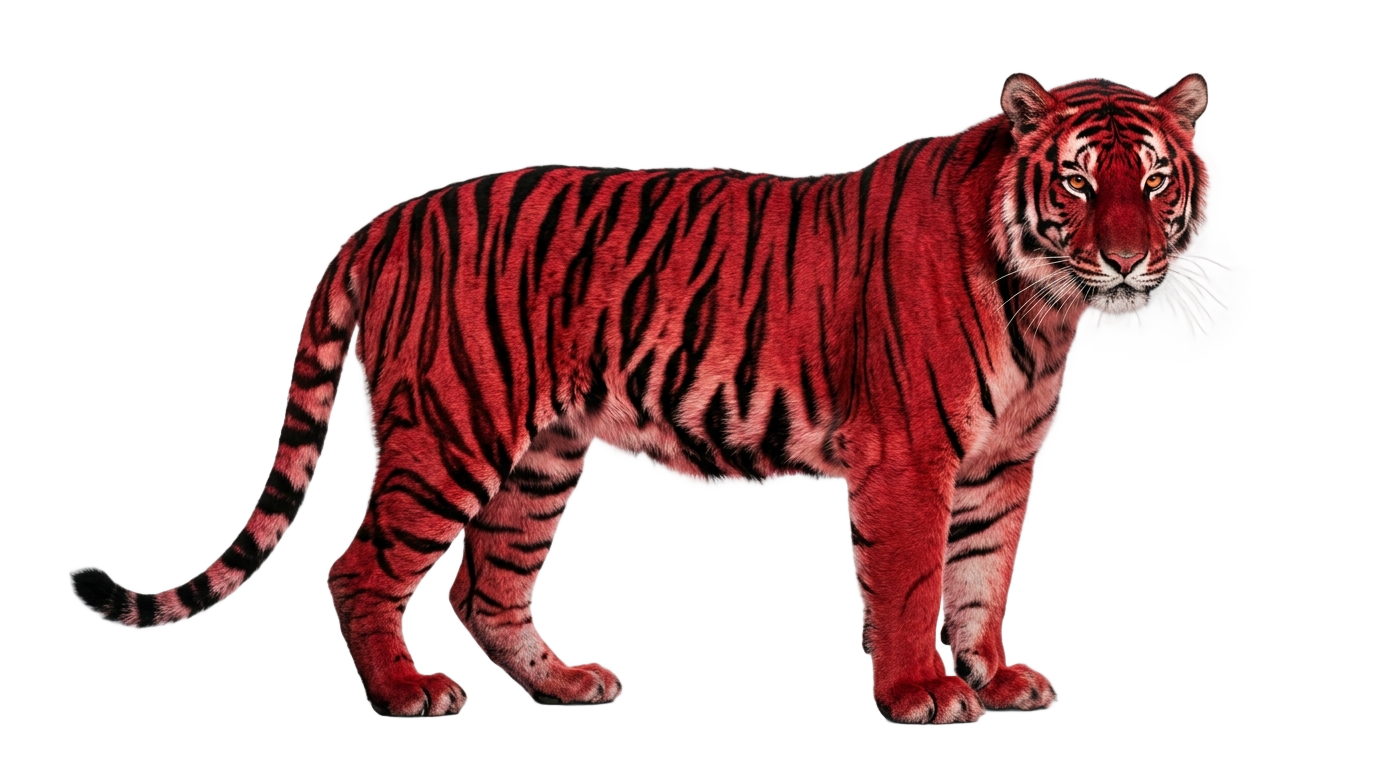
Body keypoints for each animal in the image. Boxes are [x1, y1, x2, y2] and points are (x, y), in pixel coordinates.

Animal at [72, 72, 1209, 724]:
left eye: (1151, 181)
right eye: (1076, 182)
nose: (1124, 259)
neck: (1046, 300)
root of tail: (385, 217)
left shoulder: (999, 464)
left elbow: (983, 577)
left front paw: (992, 678)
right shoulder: (909, 457)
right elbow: (911, 584)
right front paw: (918, 695)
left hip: (538, 455)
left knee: (483, 584)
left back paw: (563, 685)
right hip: (450, 433)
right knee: (361, 568)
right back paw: (404, 695)